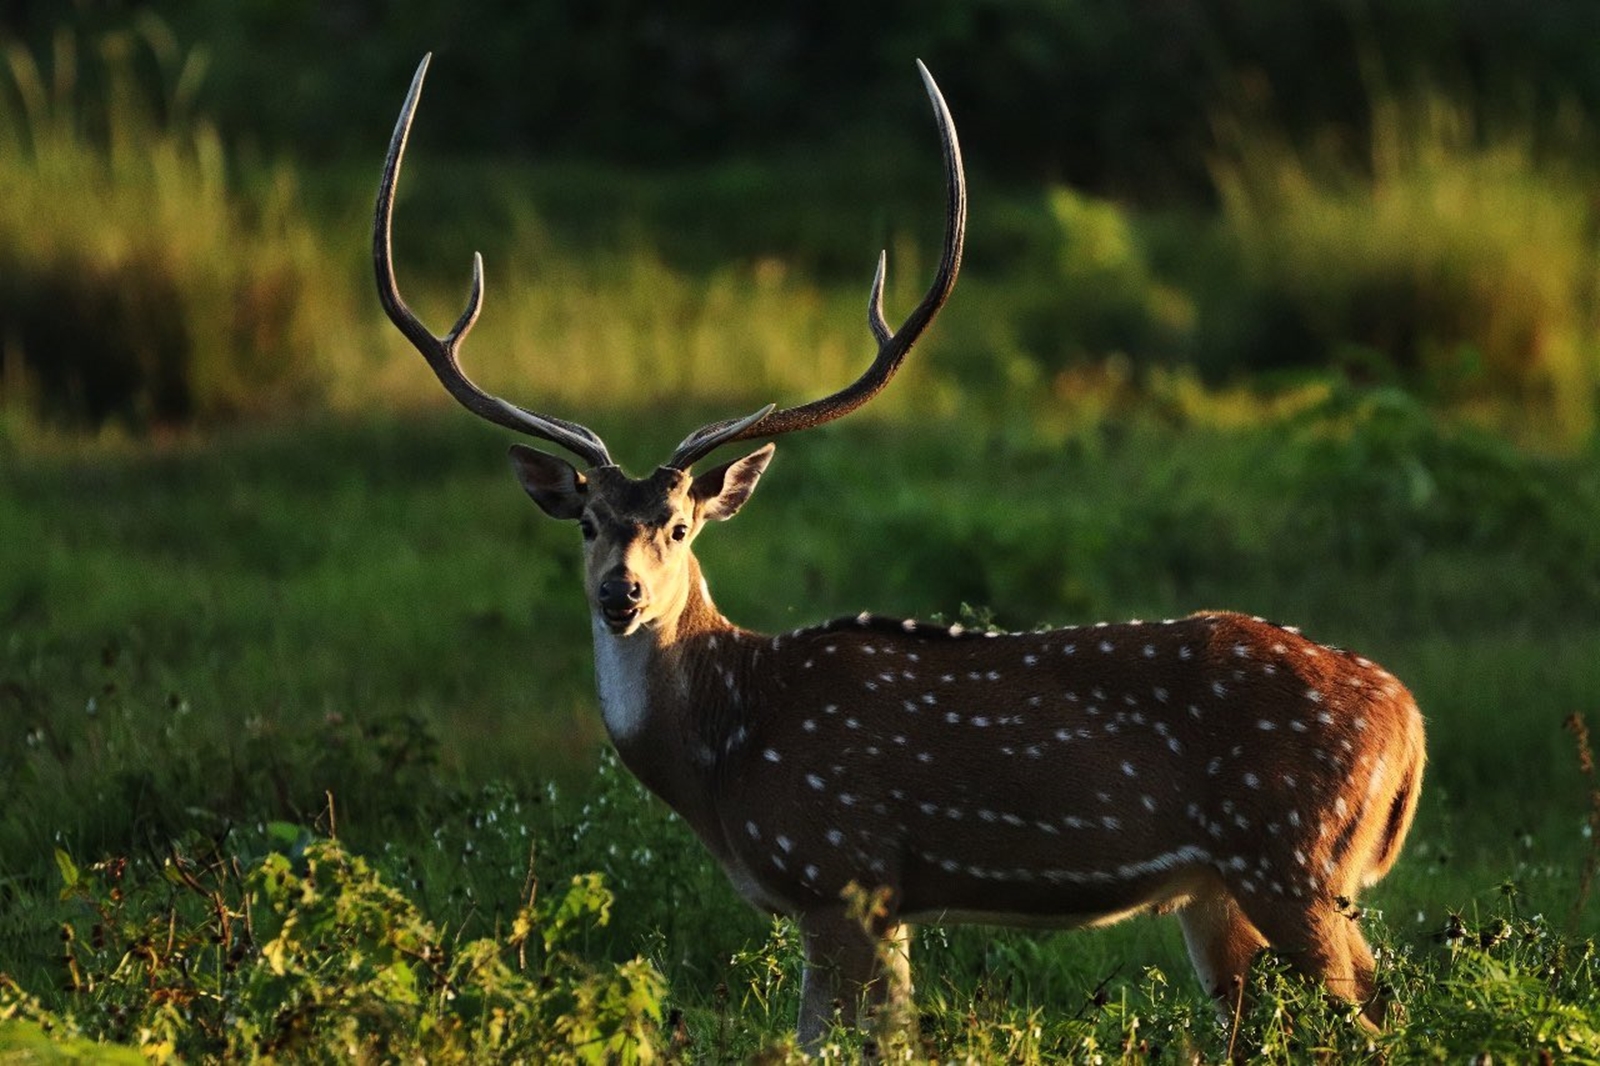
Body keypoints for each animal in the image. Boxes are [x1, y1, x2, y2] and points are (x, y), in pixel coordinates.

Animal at [374, 55, 1427, 1049]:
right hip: (1222, 889)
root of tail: (1410, 720)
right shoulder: (876, 900)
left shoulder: (840, 866)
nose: (621, 594)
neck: (722, 755)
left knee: (1381, 1014)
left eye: (679, 524)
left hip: (1290, 857)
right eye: (587, 519)